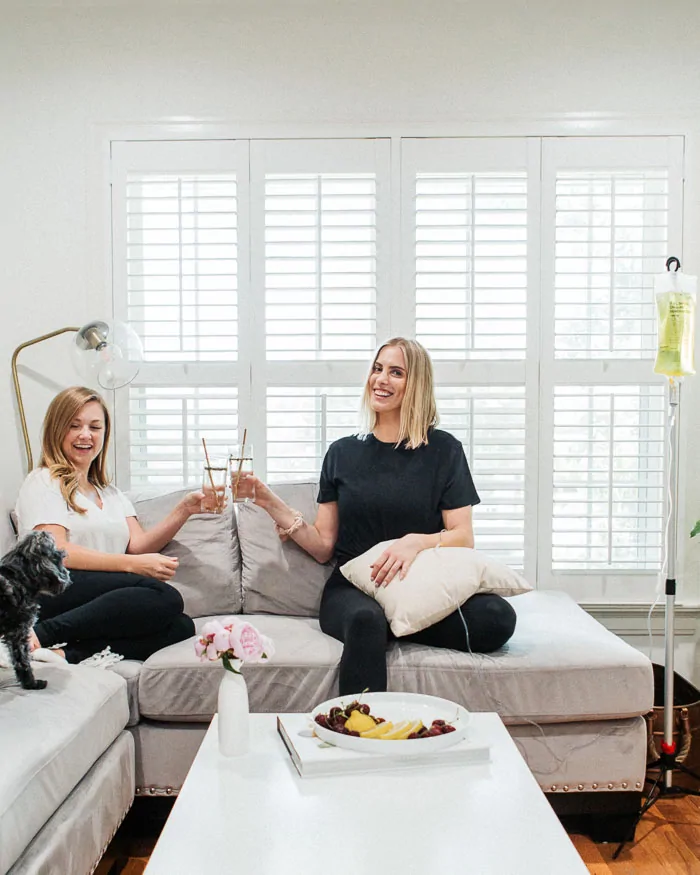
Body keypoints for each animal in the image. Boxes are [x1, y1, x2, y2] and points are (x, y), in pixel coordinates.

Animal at [0, 528, 70, 692]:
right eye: (60, 558)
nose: (67, 573)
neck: (18, 580)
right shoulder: (18, 633)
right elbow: (22, 662)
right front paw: (31, 684)